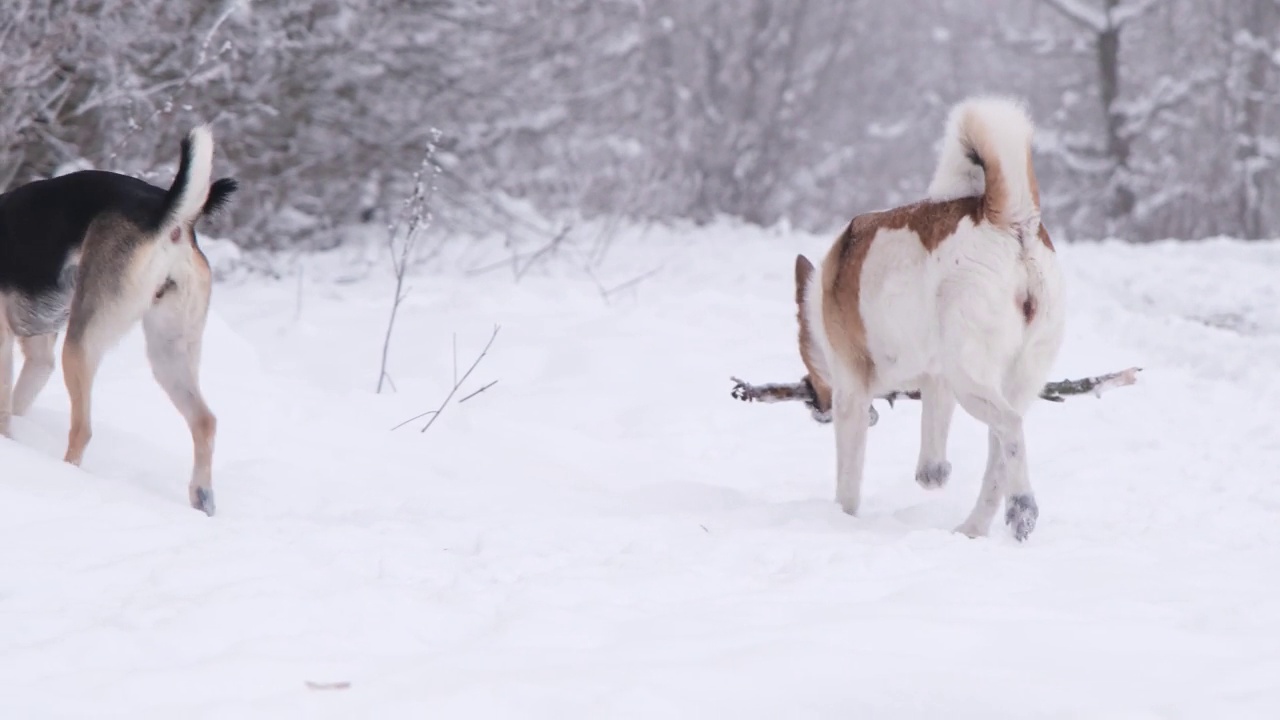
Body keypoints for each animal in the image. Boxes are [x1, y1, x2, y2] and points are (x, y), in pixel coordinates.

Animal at [0, 124, 238, 515]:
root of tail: (166, 214)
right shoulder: (38, 355)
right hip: (169, 353)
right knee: (204, 421)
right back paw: (202, 497)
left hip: (80, 346)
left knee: (82, 429)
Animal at [793, 98, 1064, 540]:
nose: (814, 404)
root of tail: (1009, 223)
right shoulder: (937, 382)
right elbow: (931, 464)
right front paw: (936, 474)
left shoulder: (851, 392)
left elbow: (848, 478)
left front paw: (842, 517)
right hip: (1009, 378)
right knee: (999, 457)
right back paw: (975, 527)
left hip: (971, 380)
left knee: (1009, 427)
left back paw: (1022, 506)